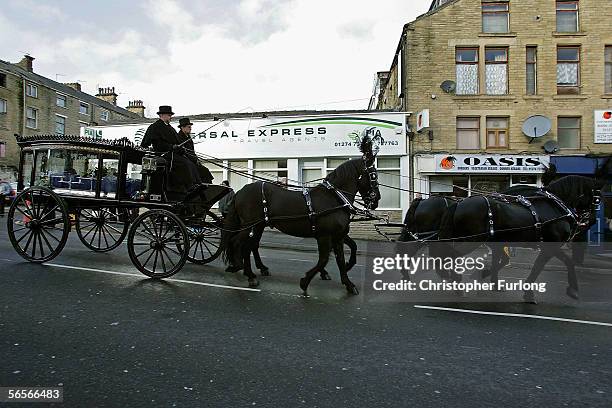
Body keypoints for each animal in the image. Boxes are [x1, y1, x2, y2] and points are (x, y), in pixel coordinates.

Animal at [222, 139, 380, 294]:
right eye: (373, 175)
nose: (376, 199)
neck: (334, 198)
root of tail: (240, 191)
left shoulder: (338, 236)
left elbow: (341, 257)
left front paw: (348, 282)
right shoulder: (324, 236)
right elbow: (324, 259)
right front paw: (305, 281)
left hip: (257, 226)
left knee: (249, 246)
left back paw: (249, 269)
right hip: (250, 225)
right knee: (239, 244)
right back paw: (245, 271)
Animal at [438, 175, 604, 302]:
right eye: (597, 198)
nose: (591, 221)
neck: (555, 206)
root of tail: (459, 203)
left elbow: (505, 261)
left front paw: (492, 280)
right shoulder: (551, 245)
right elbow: (558, 263)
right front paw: (572, 289)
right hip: (471, 240)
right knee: (451, 255)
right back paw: (455, 282)